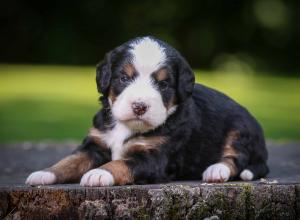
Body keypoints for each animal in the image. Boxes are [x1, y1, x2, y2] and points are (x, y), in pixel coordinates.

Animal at [26, 36, 270, 186]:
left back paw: (216, 170)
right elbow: (69, 161)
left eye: (163, 84)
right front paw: (44, 173)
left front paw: (99, 173)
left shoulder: (154, 157)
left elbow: (121, 163)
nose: (139, 106)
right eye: (124, 78)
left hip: (240, 130)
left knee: (236, 159)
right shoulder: (95, 144)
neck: (126, 126)